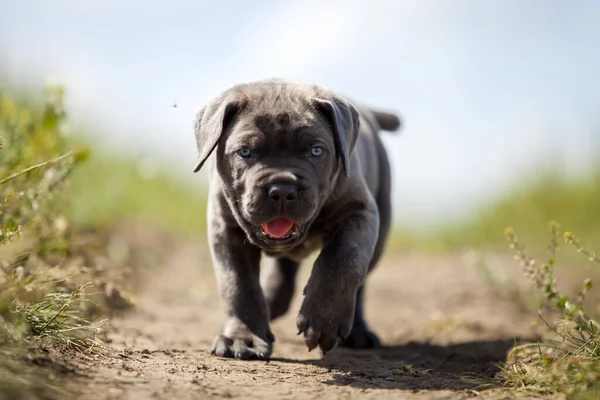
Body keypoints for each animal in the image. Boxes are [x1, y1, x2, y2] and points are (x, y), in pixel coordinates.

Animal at [192, 79, 400, 360]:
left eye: (316, 151)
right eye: (245, 152)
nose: (282, 189)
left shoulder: (359, 212)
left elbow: (343, 261)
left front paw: (324, 321)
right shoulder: (225, 228)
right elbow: (238, 285)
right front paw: (242, 339)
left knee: (361, 280)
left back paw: (358, 332)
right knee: (283, 268)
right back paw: (272, 300)